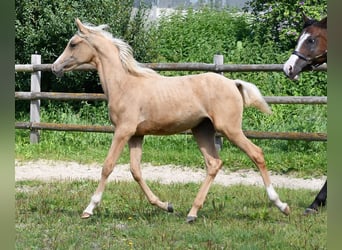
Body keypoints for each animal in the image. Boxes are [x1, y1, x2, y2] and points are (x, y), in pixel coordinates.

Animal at [52, 19, 290, 223]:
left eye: (73, 43)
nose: (55, 67)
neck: (125, 84)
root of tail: (233, 83)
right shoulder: (136, 134)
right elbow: (135, 171)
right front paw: (165, 205)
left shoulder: (123, 131)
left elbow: (108, 166)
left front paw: (89, 209)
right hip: (202, 130)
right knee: (214, 163)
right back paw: (192, 213)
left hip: (229, 129)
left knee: (256, 154)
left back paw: (282, 205)